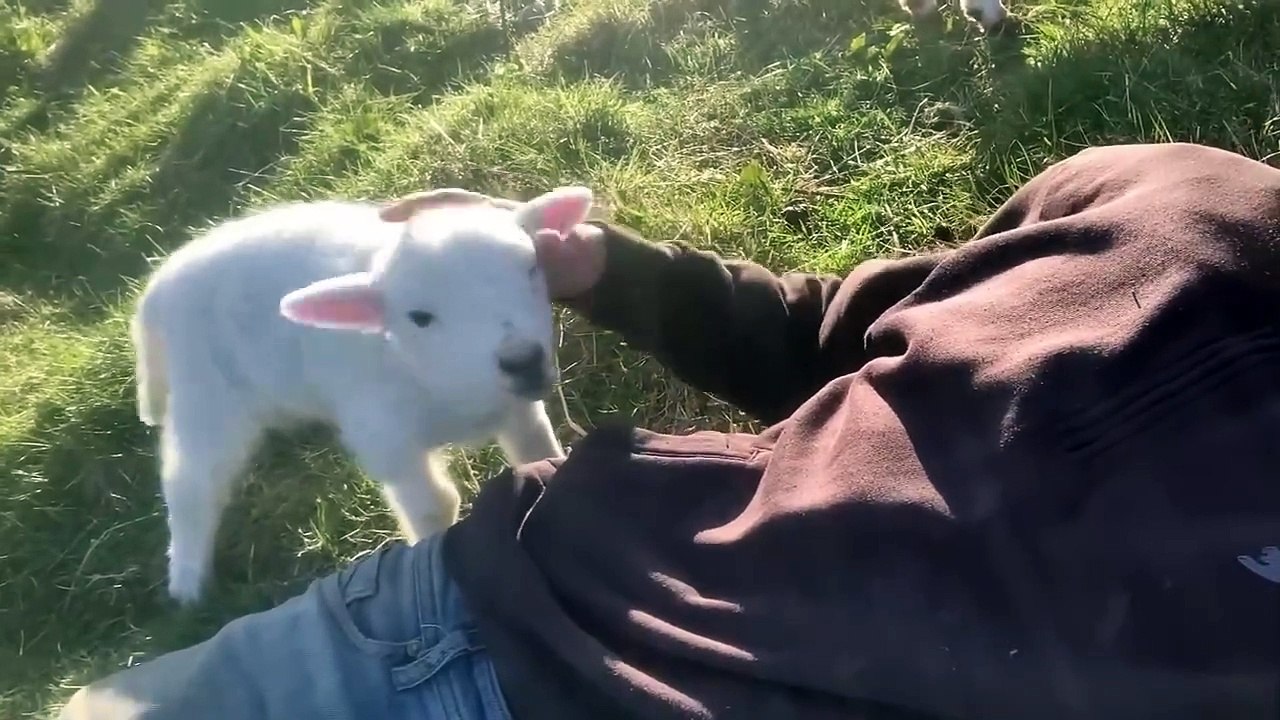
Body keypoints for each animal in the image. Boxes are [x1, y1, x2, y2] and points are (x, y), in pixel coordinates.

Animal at [131, 186, 593, 604]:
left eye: (532, 267)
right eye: (419, 317)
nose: (522, 360)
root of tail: (157, 291)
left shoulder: (519, 409)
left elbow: (536, 450)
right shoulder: (385, 435)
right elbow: (434, 506)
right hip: (205, 393)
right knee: (190, 482)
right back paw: (188, 580)